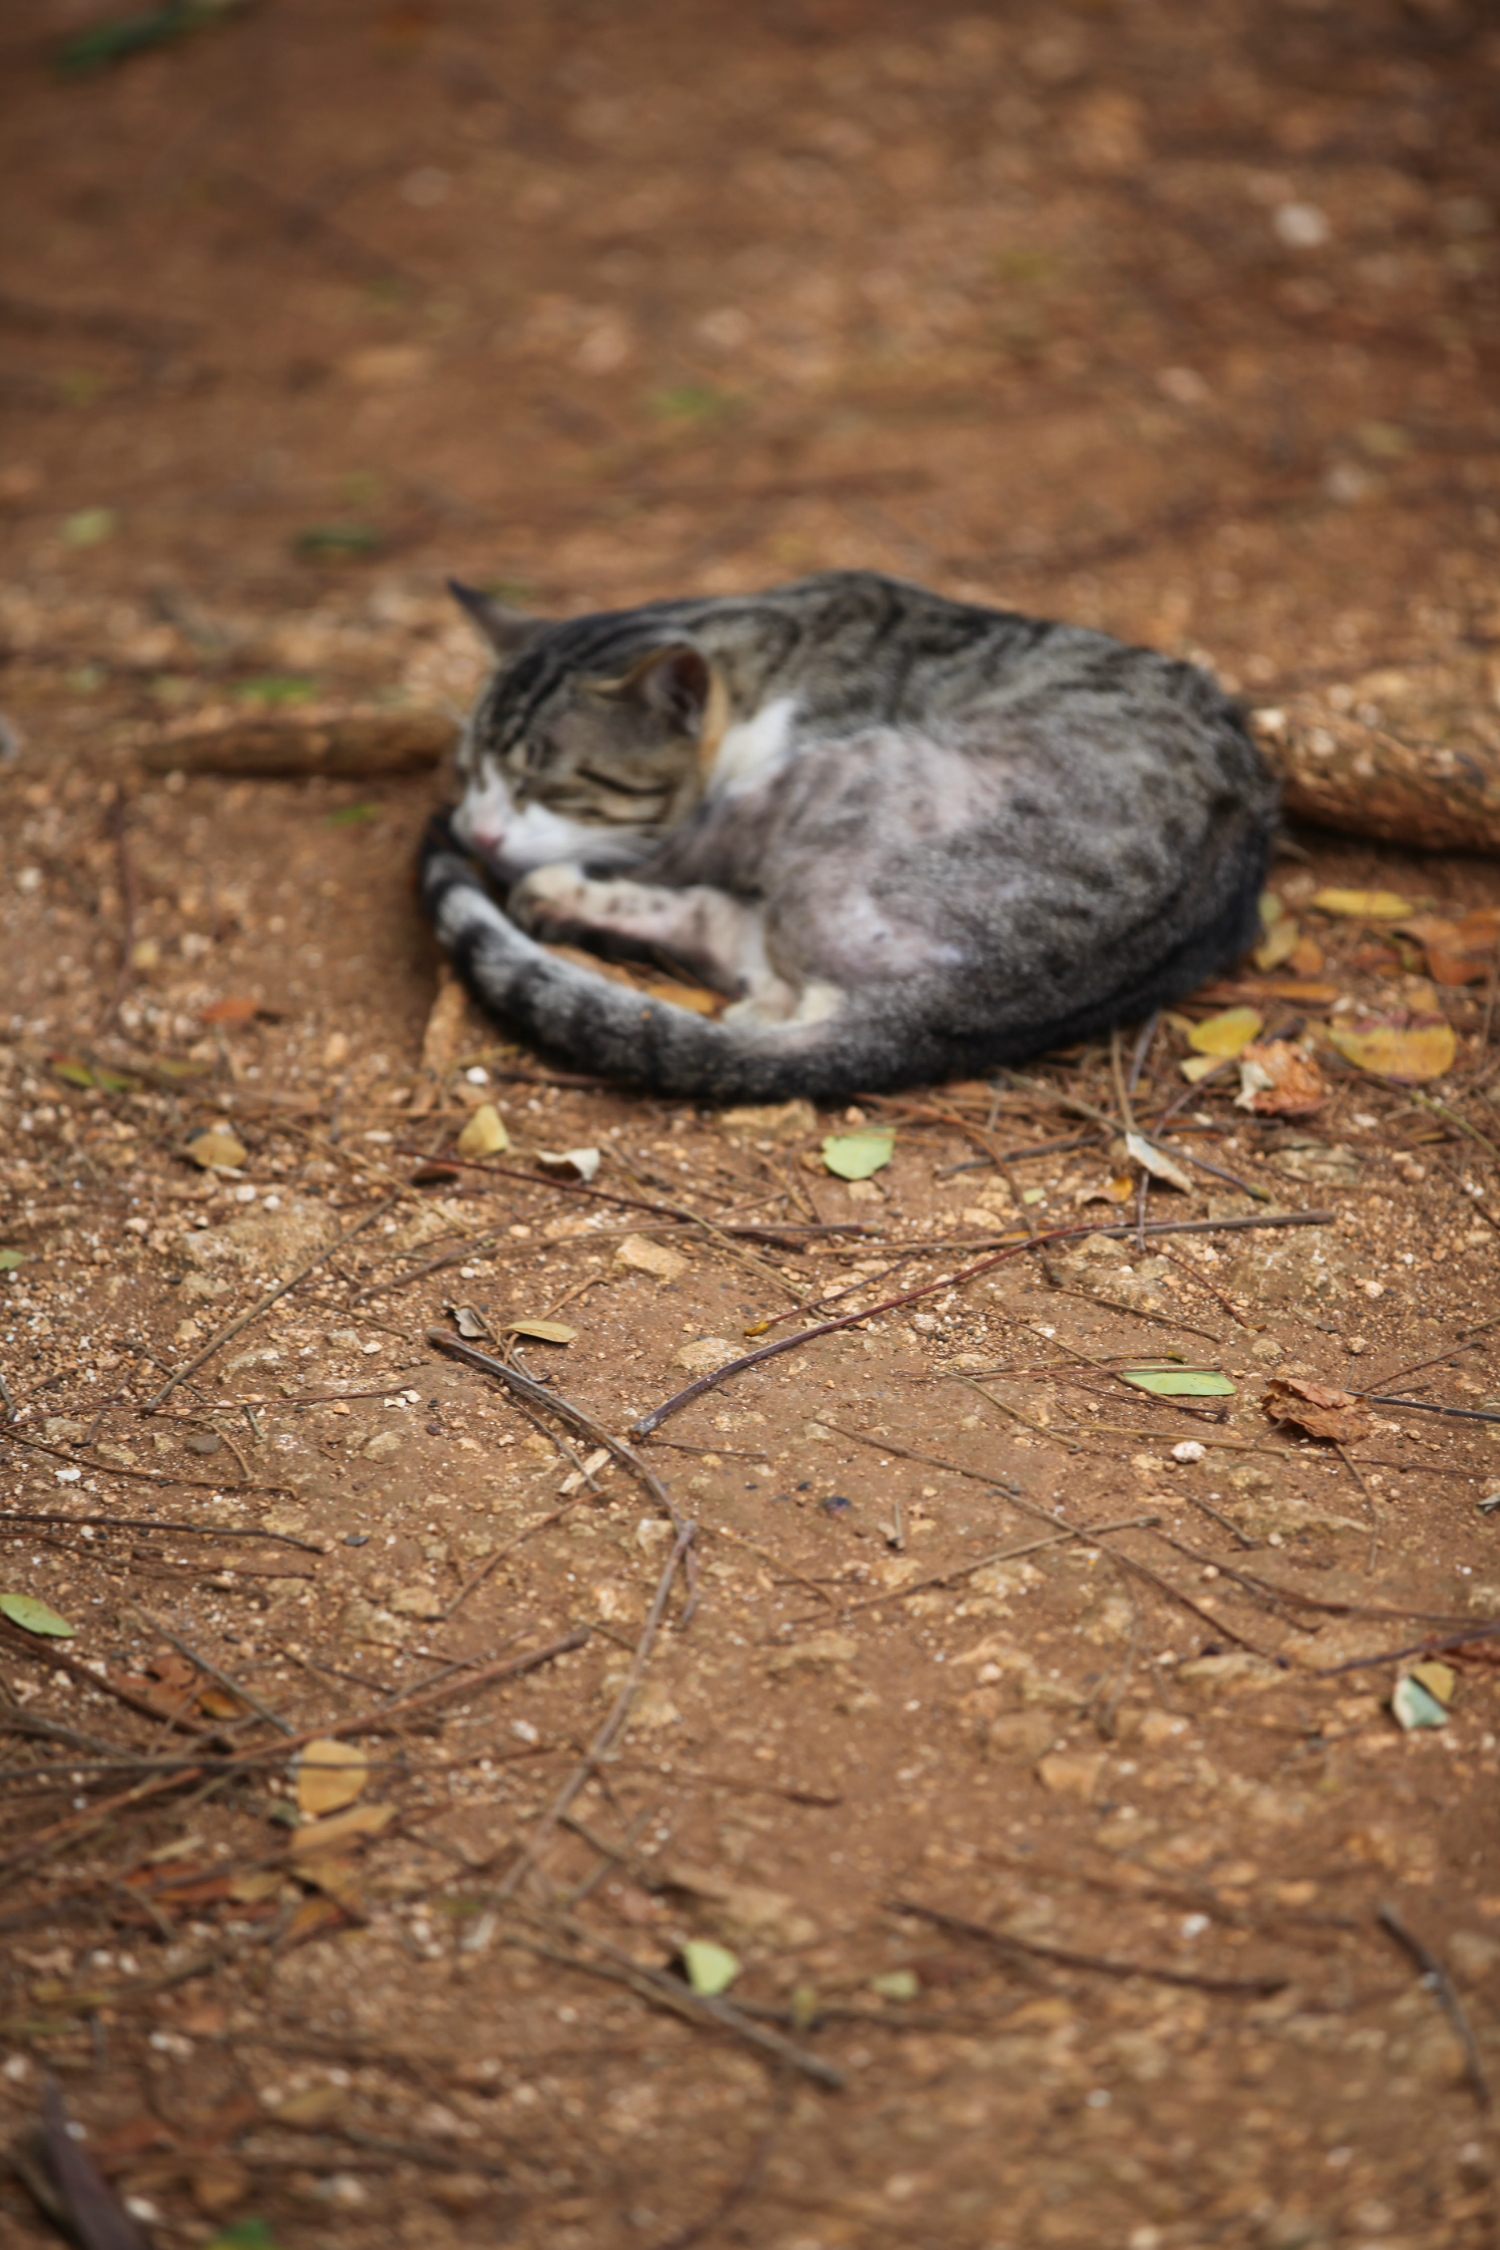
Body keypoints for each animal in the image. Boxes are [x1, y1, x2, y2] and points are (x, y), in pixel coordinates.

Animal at [422, 567, 1277, 1102]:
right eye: (468, 771)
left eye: (546, 785)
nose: (478, 831)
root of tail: (943, 1015)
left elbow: (659, 851)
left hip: (827, 778)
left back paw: (557, 892)